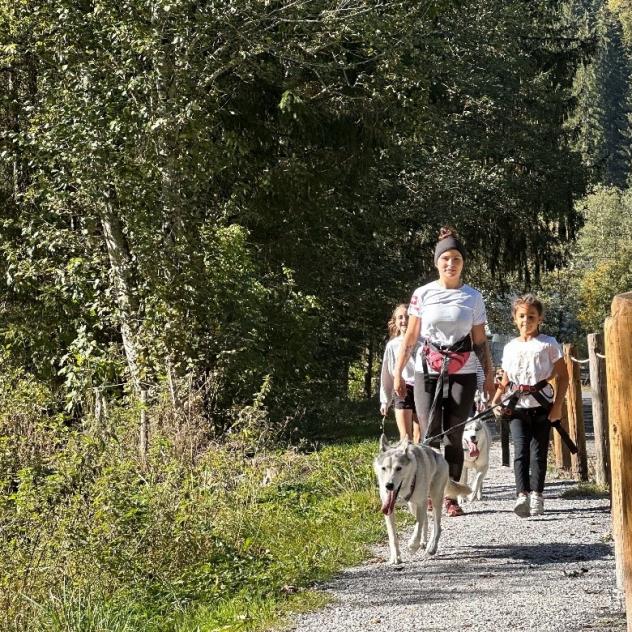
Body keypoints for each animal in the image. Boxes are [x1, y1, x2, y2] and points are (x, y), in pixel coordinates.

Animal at [372, 434, 472, 564]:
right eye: (384, 468)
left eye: (398, 468)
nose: (388, 485)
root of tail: (437, 453)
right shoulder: (389, 509)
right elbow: (393, 536)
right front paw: (396, 557)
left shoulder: (421, 503)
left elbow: (418, 526)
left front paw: (413, 545)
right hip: (413, 506)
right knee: (426, 520)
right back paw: (423, 542)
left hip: (435, 498)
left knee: (437, 526)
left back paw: (431, 547)